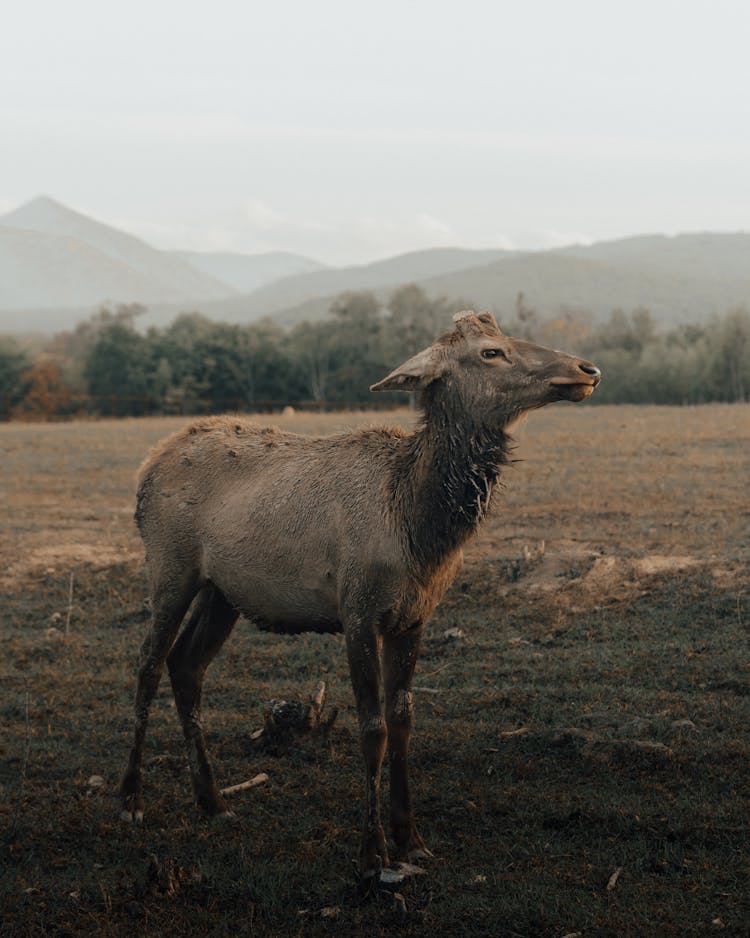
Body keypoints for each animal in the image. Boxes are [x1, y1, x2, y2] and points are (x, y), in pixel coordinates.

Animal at [122, 308, 604, 876]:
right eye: (491, 351)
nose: (587, 369)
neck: (417, 529)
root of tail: (147, 467)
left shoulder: (414, 616)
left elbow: (403, 720)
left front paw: (410, 837)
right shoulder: (356, 610)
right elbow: (371, 727)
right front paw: (373, 851)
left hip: (222, 591)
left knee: (187, 665)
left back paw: (213, 801)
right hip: (170, 565)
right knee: (149, 665)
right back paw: (131, 800)